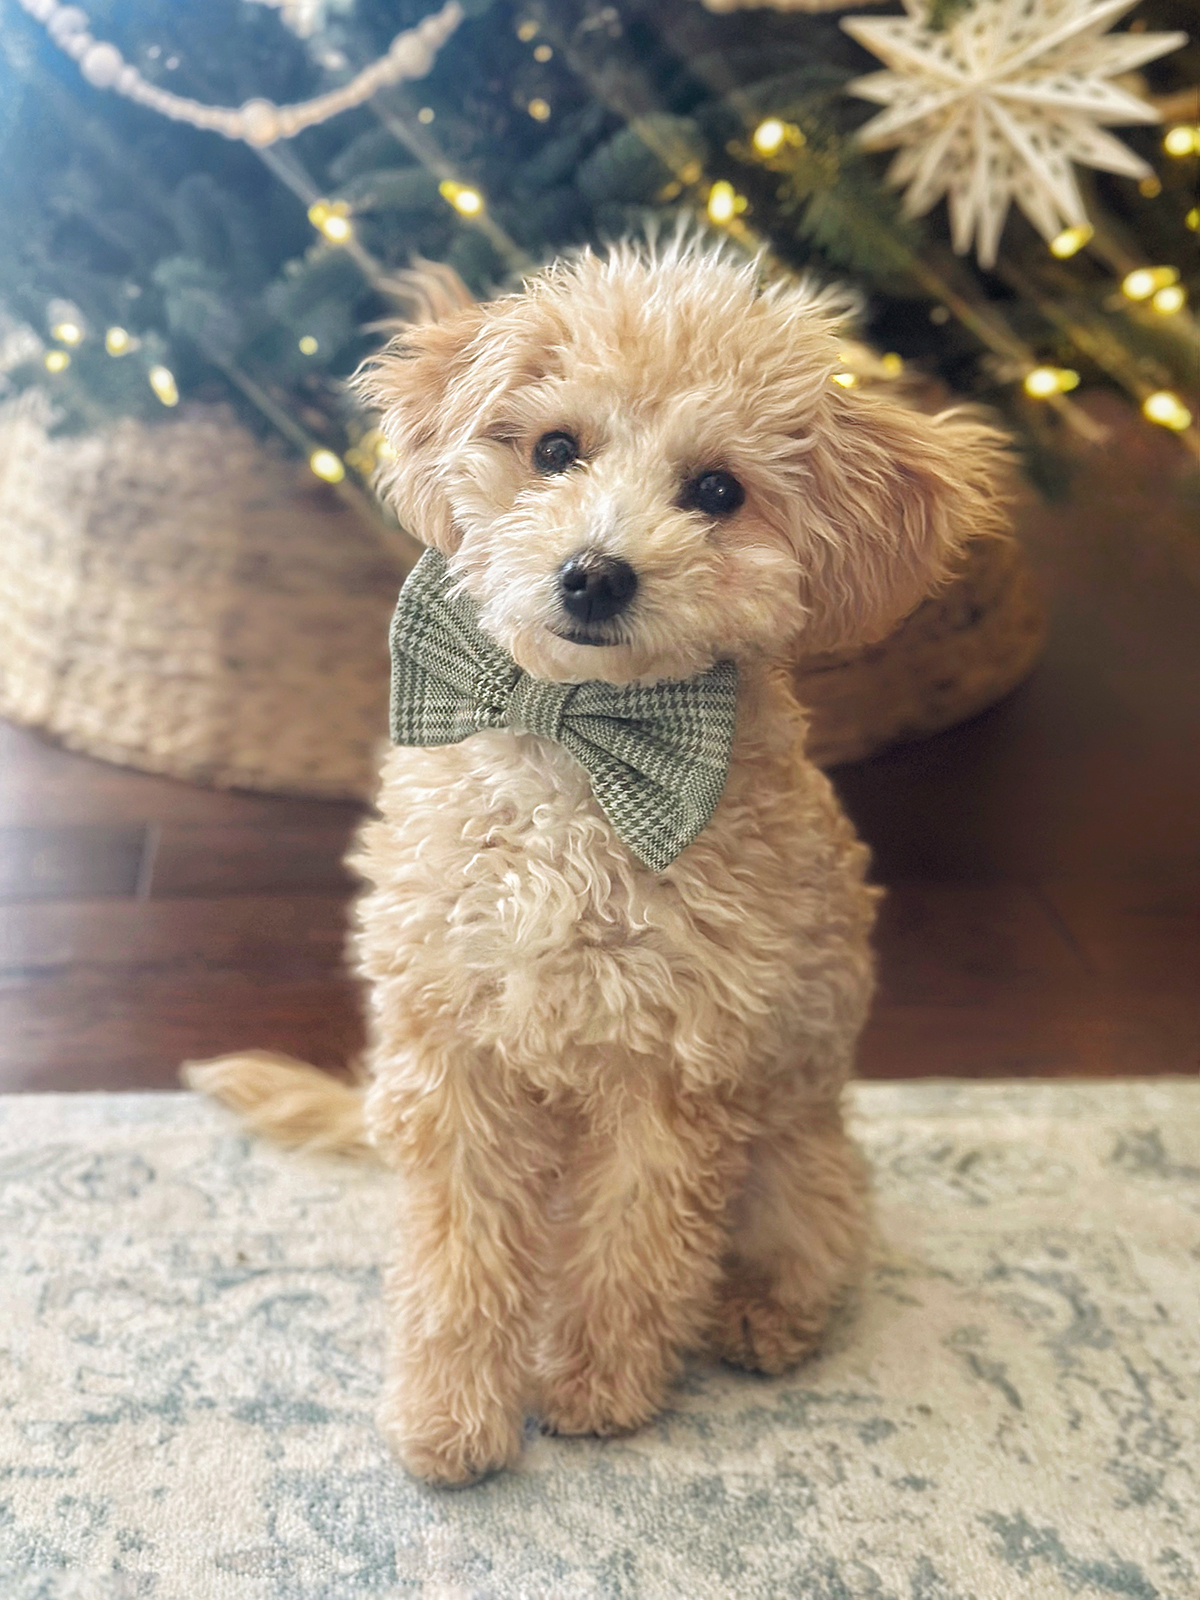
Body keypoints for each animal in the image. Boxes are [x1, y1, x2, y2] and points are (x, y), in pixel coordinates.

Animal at [190, 240, 1017, 1484]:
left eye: (718, 490)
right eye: (552, 448)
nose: (594, 574)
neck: (577, 761)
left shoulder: (672, 1069)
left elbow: (638, 1247)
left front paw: (597, 1392)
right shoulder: (453, 1054)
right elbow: (458, 1264)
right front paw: (450, 1420)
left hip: (796, 1152)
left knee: (810, 1241)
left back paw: (765, 1318)